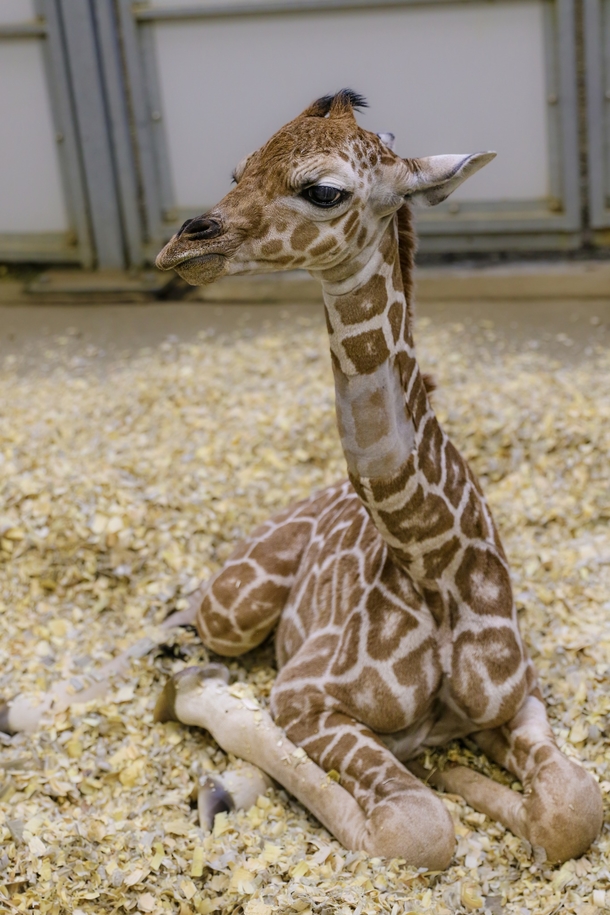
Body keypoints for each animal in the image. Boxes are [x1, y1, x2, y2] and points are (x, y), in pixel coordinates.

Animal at [154, 90, 602, 869]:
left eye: (324, 190)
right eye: (238, 169)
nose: (183, 243)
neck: (429, 562)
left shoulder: (520, 692)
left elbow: (574, 808)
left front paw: (461, 770)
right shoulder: (302, 694)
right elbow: (416, 827)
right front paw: (443, 774)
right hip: (236, 613)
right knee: (193, 619)